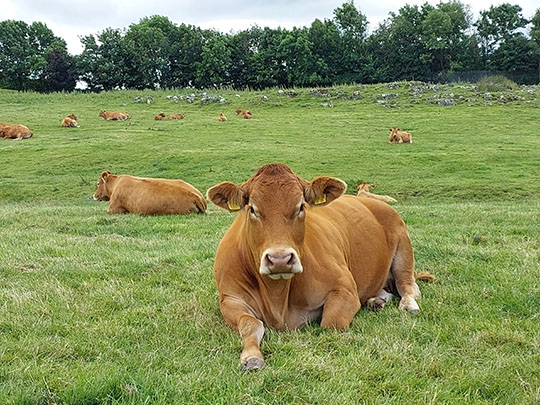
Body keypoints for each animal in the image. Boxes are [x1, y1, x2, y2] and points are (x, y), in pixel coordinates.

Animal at [207, 163, 430, 370]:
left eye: (301, 207)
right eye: (252, 209)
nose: (280, 259)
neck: (277, 295)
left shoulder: (345, 288)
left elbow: (331, 324)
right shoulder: (230, 299)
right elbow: (250, 324)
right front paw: (252, 357)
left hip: (403, 251)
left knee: (408, 286)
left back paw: (408, 305)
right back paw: (376, 301)